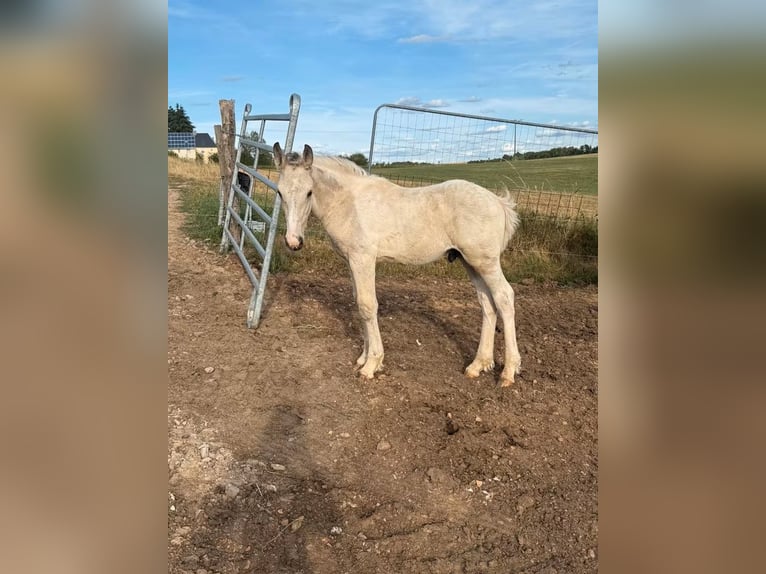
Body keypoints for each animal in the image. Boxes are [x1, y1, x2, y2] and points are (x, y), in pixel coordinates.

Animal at [273, 143, 522, 386]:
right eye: (279, 192)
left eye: (309, 192)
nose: (294, 242)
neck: (348, 203)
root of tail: (498, 202)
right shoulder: (352, 261)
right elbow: (358, 303)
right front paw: (363, 357)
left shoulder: (363, 259)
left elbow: (367, 305)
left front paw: (371, 365)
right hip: (471, 263)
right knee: (487, 304)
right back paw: (477, 365)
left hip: (486, 263)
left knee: (504, 297)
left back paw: (508, 372)